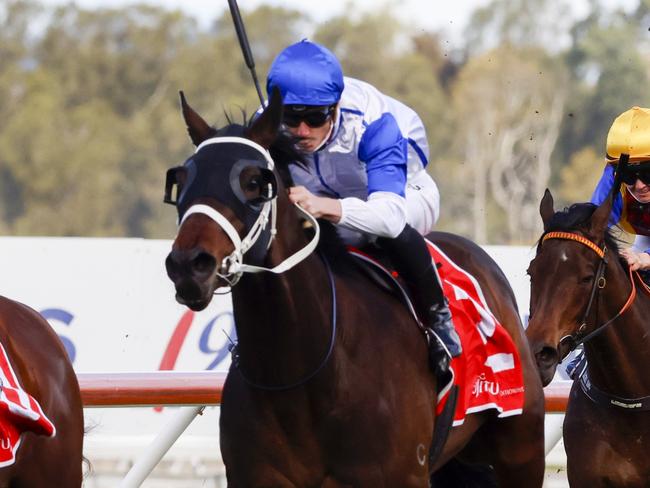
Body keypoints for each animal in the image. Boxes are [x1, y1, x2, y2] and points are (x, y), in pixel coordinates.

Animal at [165, 88, 544, 488]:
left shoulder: (402, 474)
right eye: (183, 179)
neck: (304, 376)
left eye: (253, 182)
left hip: (522, 449)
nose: (189, 264)